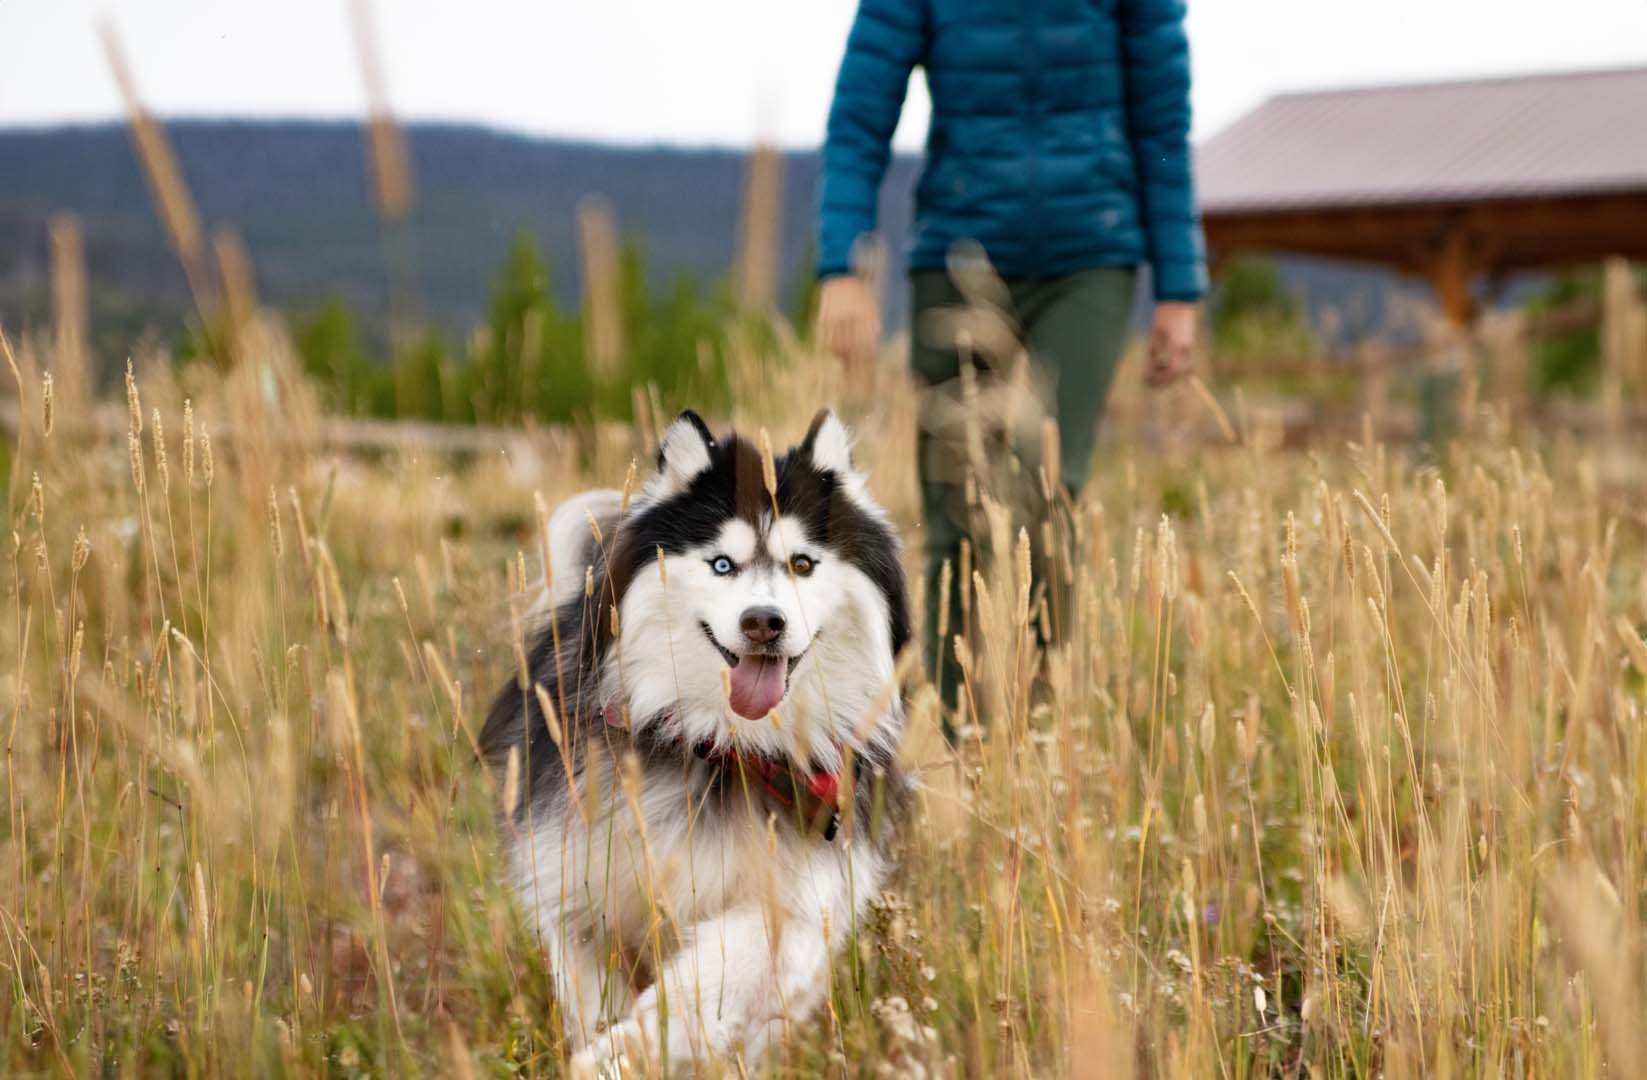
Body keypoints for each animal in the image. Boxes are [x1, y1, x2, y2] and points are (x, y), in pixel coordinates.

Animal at [480, 406, 909, 1073]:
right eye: (722, 565)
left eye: (803, 564)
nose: (763, 623)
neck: (722, 746)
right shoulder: (574, 880)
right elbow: (591, 983)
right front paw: (607, 1052)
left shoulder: (799, 898)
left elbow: (710, 980)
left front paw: (627, 1051)